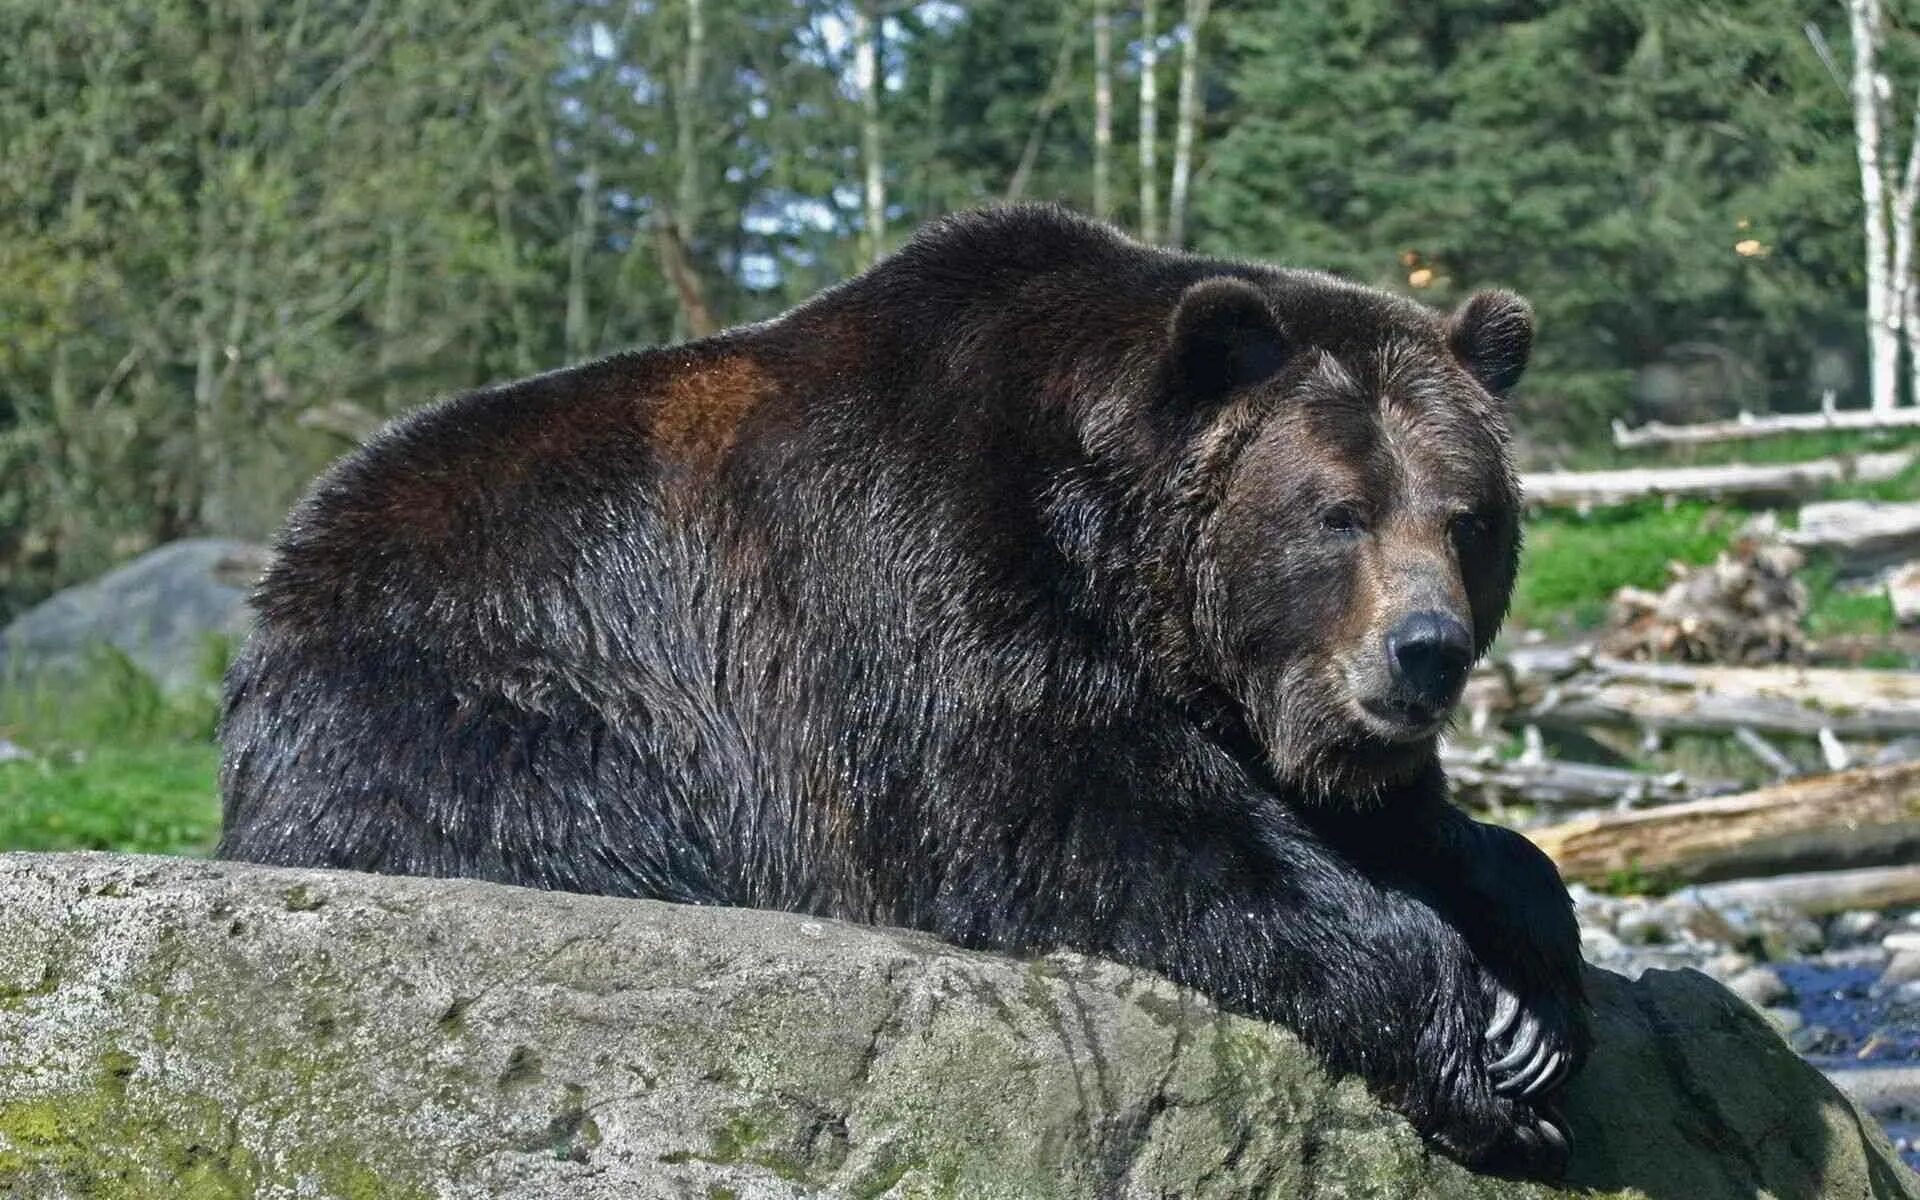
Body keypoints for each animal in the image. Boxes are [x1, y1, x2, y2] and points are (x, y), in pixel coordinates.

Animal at [214, 203, 1589, 1167]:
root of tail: (283, 567)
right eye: (1337, 513)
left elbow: (1416, 824)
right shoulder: (918, 581)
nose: (1424, 649)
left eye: (1467, 518)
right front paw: (1476, 1035)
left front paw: (1537, 989)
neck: (1107, 541)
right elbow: (1081, 817)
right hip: (488, 681)